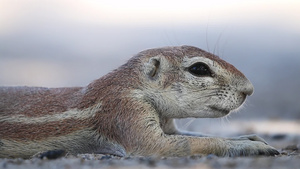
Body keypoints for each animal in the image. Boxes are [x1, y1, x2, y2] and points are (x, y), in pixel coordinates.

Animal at [0, 45, 278, 158]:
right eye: (199, 69)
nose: (249, 90)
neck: (134, 87)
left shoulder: (168, 126)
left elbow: (198, 135)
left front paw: (248, 137)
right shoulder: (126, 111)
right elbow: (190, 143)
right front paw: (252, 147)